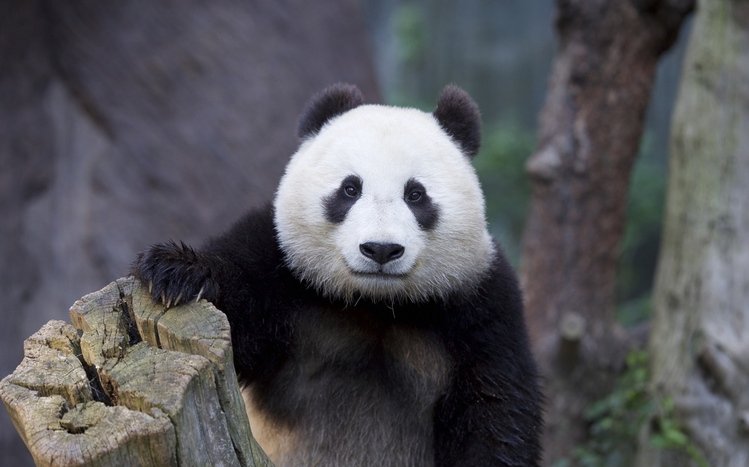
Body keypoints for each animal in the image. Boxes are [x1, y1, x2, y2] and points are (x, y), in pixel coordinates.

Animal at [133, 84, 542, 466]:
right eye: (350, 188)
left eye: (415, 194)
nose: (381, 249)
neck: (376, 303)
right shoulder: (281, 266)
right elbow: (238, 305)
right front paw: (175, 272)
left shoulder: (481, 308)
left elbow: (495, 410)